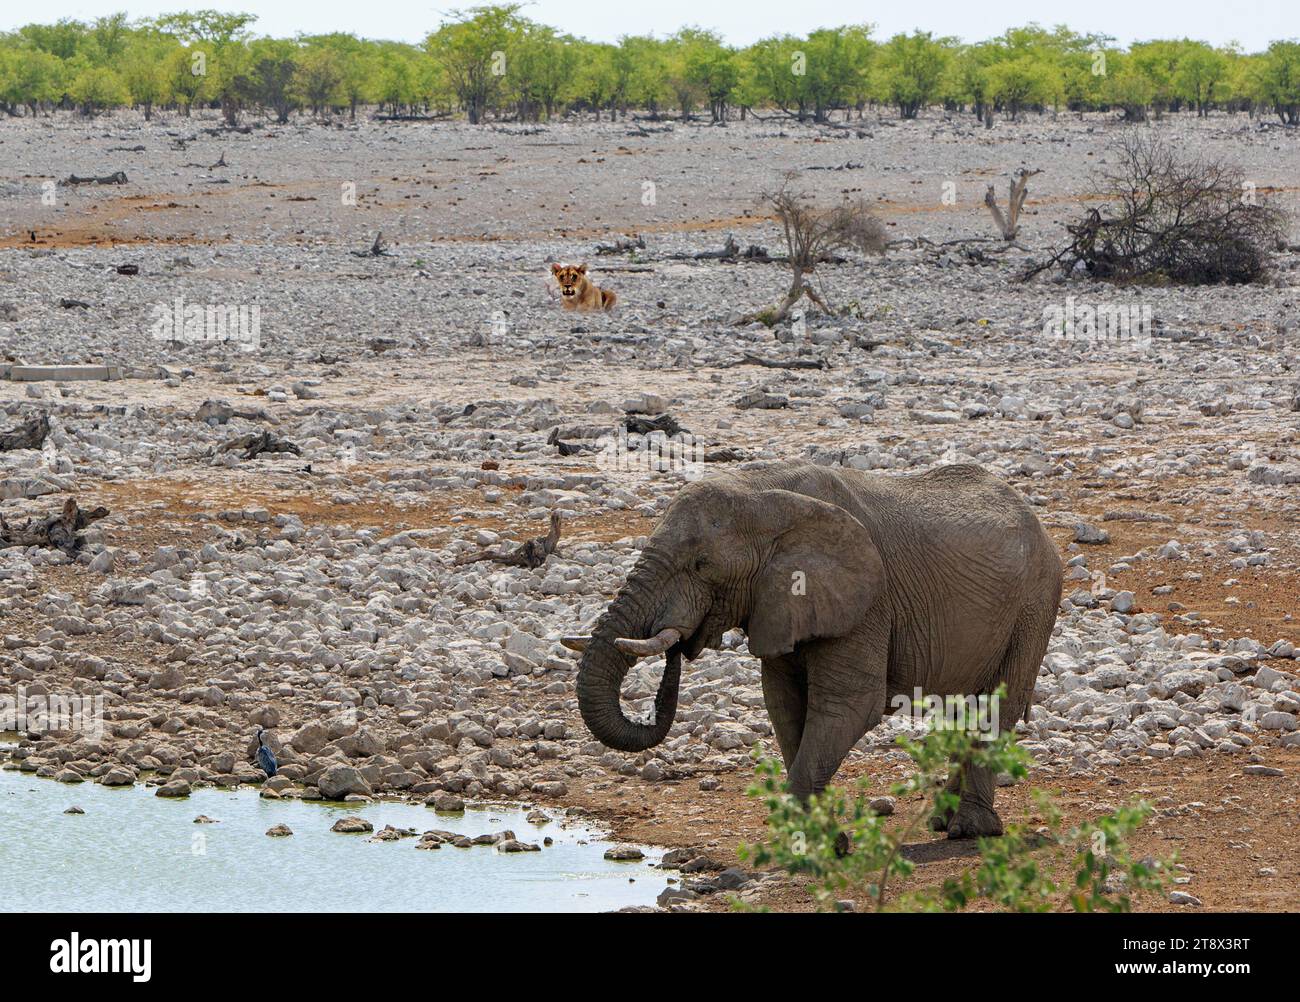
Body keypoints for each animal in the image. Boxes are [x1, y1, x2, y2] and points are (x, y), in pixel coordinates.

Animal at [564, 462, 1060, 836]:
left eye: (702, 565)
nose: (679, 644)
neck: (763, 491)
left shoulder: (866, 603)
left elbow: (848, 706)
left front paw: (822, 845)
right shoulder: (779, 603)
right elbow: (784, 705)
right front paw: (815, 839)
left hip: (1034, 606)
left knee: (996, 706)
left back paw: (970, 831)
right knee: (963, 710)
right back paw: (942, 823)